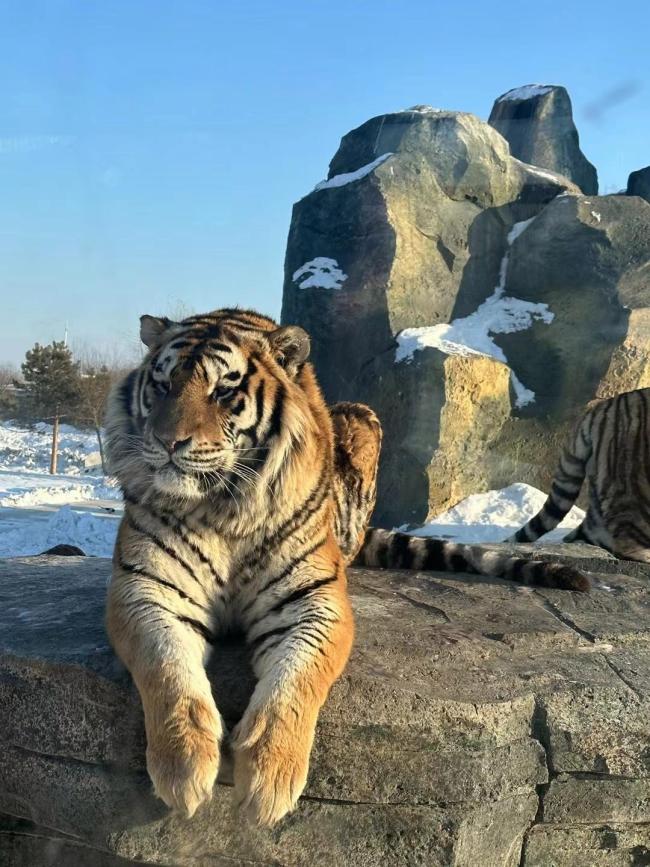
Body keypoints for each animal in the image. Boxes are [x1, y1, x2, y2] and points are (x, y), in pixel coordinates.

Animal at [104, 307, 589, 828]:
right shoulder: (146, 588)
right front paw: (184, 769)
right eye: (162, 385)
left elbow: (297, 679)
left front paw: (271, 778)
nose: (167, 442)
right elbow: (166, 668)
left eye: (223, 392)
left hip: (361, 419)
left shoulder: (313, 600)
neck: (222, 508)